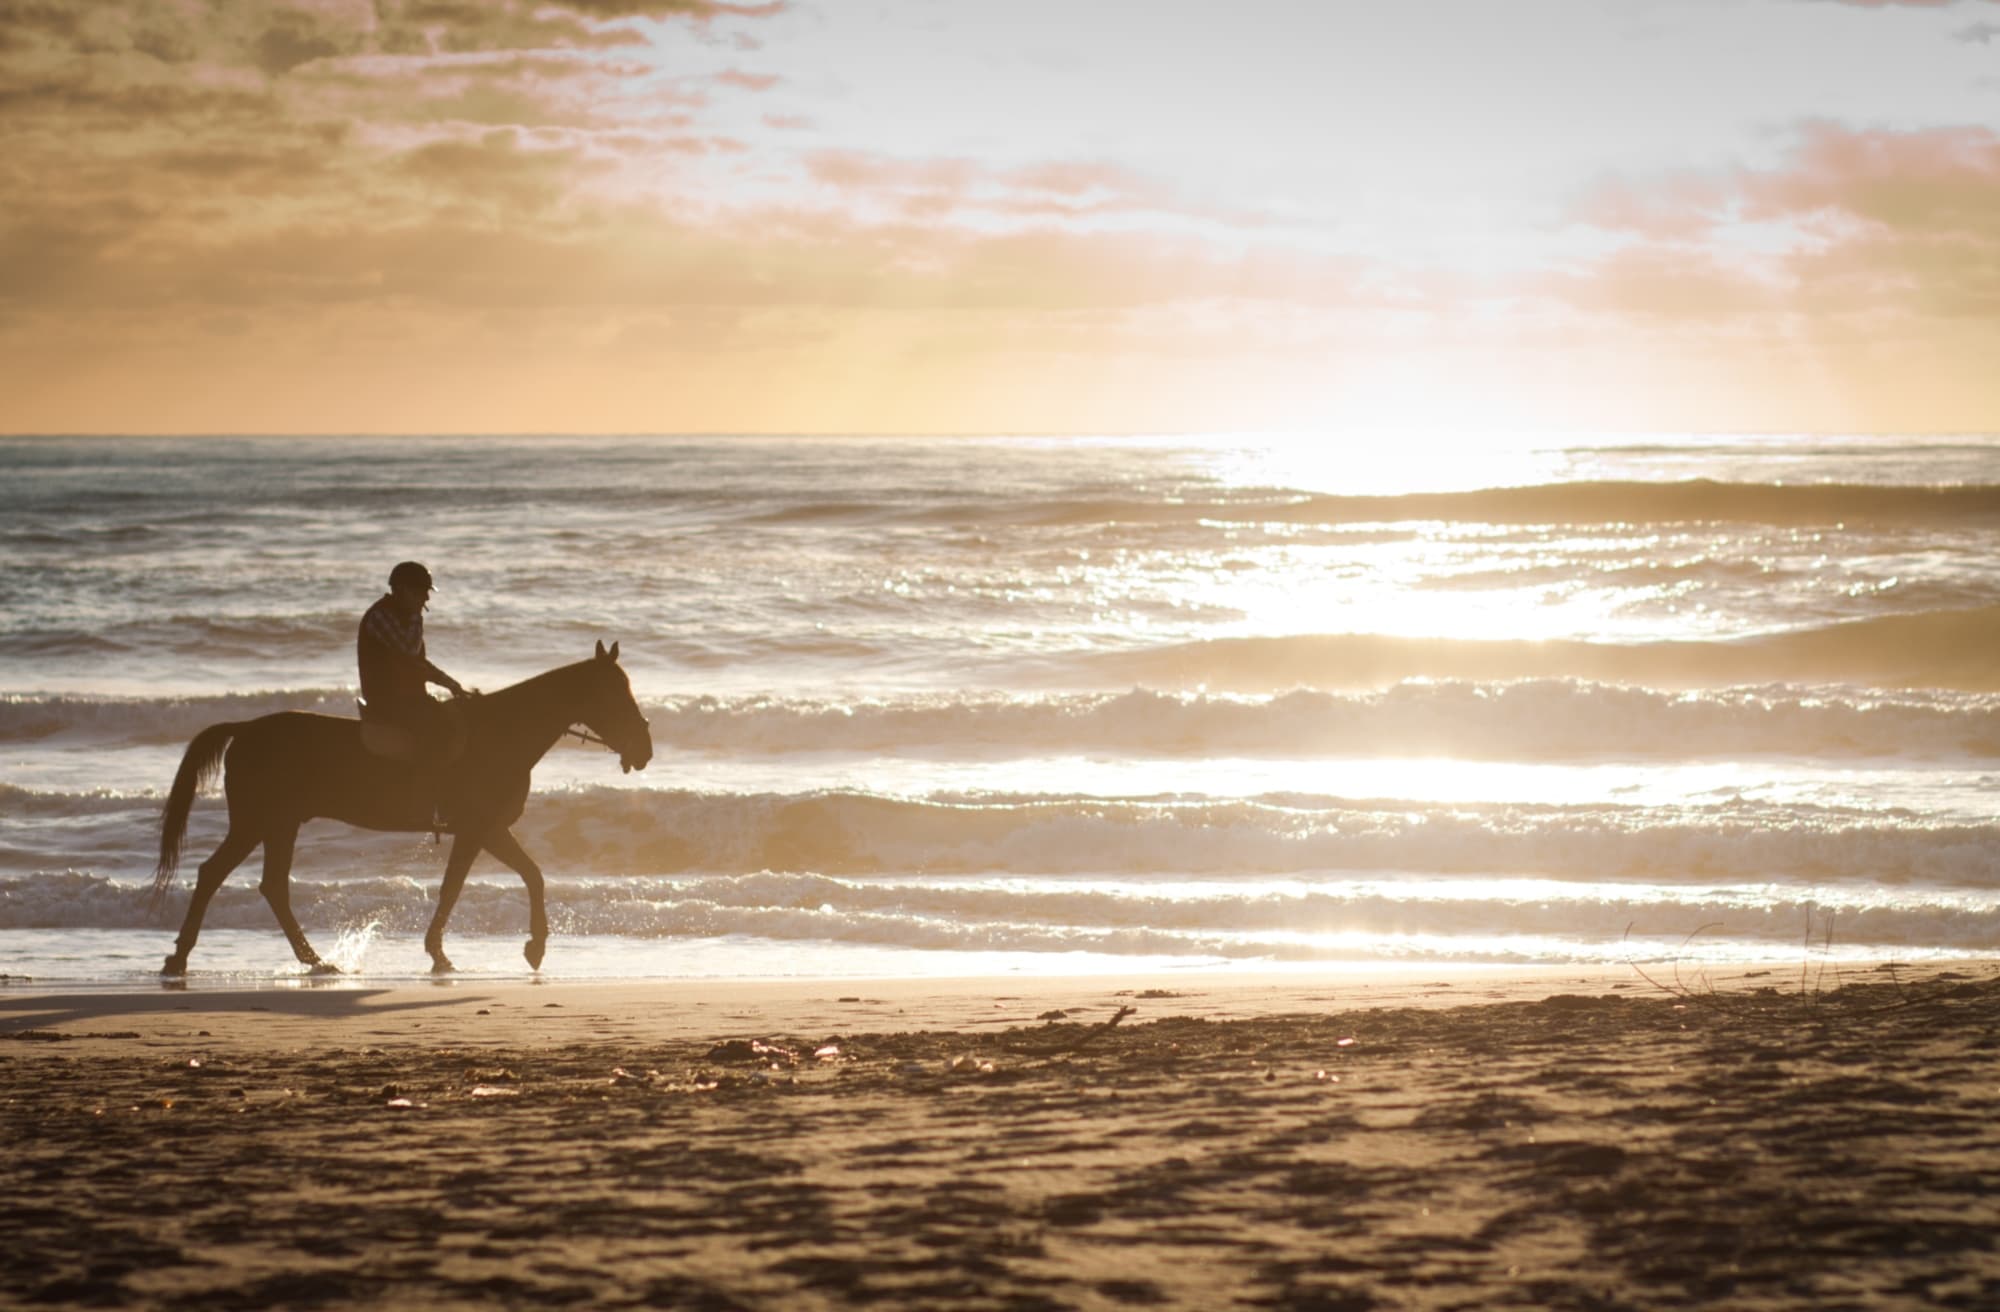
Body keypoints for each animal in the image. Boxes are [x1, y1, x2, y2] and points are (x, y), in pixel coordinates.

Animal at [152, 640, 653, 976]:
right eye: (615, 694)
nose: (644, 750)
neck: (501, 733)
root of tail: (245, 729)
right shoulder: (479, 829)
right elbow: (467, 886)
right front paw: (472, 951)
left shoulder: (487, 831)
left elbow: (527, 876)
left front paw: (526, 946)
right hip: (260, 822)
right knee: (220, 876)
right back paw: (187, 957)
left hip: (279, 824)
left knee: (263, 884)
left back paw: (309, 960)